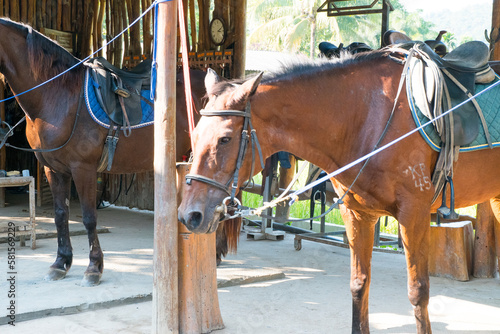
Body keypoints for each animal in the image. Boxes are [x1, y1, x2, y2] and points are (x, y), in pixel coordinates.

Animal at [0, 17, 240, 284]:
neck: (59, 96)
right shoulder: (53, 169)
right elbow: (60, 215)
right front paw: (61, 263)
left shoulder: (83, 169)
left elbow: (89, 218)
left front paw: (94, 268)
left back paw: (216, 253)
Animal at [179, 51, 500, 332]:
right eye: (195, 133)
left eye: (225, 138)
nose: (189, 215)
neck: (368, 116)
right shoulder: (357, 214)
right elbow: (359, 284)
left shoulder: (414, 214)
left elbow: (418, 291)